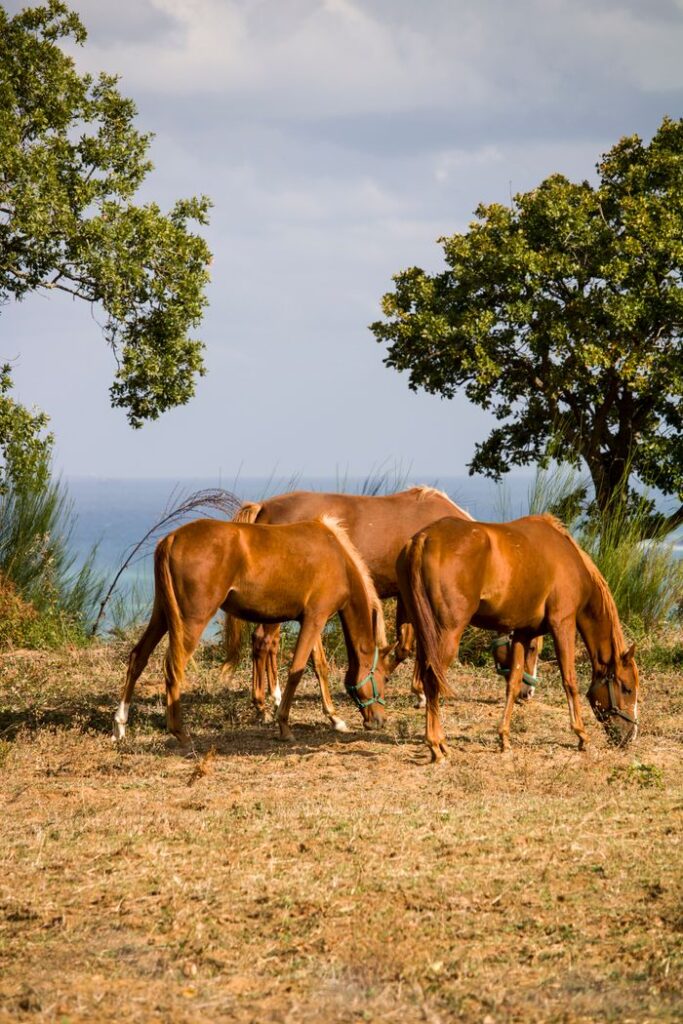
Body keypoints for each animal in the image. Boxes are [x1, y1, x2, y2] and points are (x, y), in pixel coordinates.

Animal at [113, 516, 395, 747]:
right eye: (384, 678)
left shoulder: (312, 619)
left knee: (138, 657)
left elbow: (319, 667)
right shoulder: (316, 618)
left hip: (161, 615)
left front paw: (335, 718)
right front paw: (284, 725)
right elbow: (296, 671)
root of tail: (171, 539)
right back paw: (180, 732)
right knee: (173, 667)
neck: (338, 558)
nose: (380, 719)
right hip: (191, 621)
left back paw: (120, 724)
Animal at [221, 487, 543, 718]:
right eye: (533, 648)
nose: (527, 692)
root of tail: (265, 506)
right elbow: (410, 646)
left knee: (267, 644)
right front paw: (417, 690)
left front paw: (416, 689)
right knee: (264, 642)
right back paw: (266, 702)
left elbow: (413, 644)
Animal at [397, 514, 639, 761]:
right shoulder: (563, 624)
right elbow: (570, 681)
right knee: (432, 680)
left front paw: (504, 737)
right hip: (447, 634)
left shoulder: (524, 633)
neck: (570, 561)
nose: (630, 736)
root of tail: (424, 539)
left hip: (423, 632)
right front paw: (581, 734)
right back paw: (437, 743)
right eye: (627, 688)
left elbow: (513, 683)